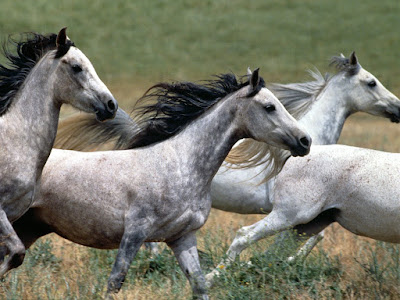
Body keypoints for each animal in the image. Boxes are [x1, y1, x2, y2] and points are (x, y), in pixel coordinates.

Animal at [7, 69, 310, 298]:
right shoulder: (134, 233)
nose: (305, 141)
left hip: (29, 228)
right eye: (270, 107)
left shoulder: (182, 237)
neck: (178, 166)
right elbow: (115, 282)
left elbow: (199, 285)